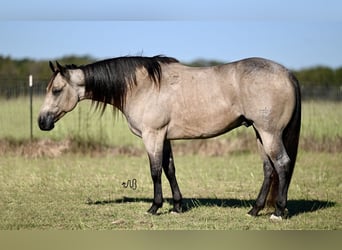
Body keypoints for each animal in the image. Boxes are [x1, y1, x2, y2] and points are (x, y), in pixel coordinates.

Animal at [37, 55, 300, 220]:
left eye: (56, 90)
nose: (42, 122)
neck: (141, 86)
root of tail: (287, 73)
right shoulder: (164, 137)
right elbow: (169, 169)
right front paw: (177, 206)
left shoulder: (152, 135)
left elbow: (155, 171)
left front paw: (155, 207)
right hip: (259, 133)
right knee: (269, 169)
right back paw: (254, 210)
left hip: (269, 133)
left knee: (282, 164)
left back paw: (278, 212)